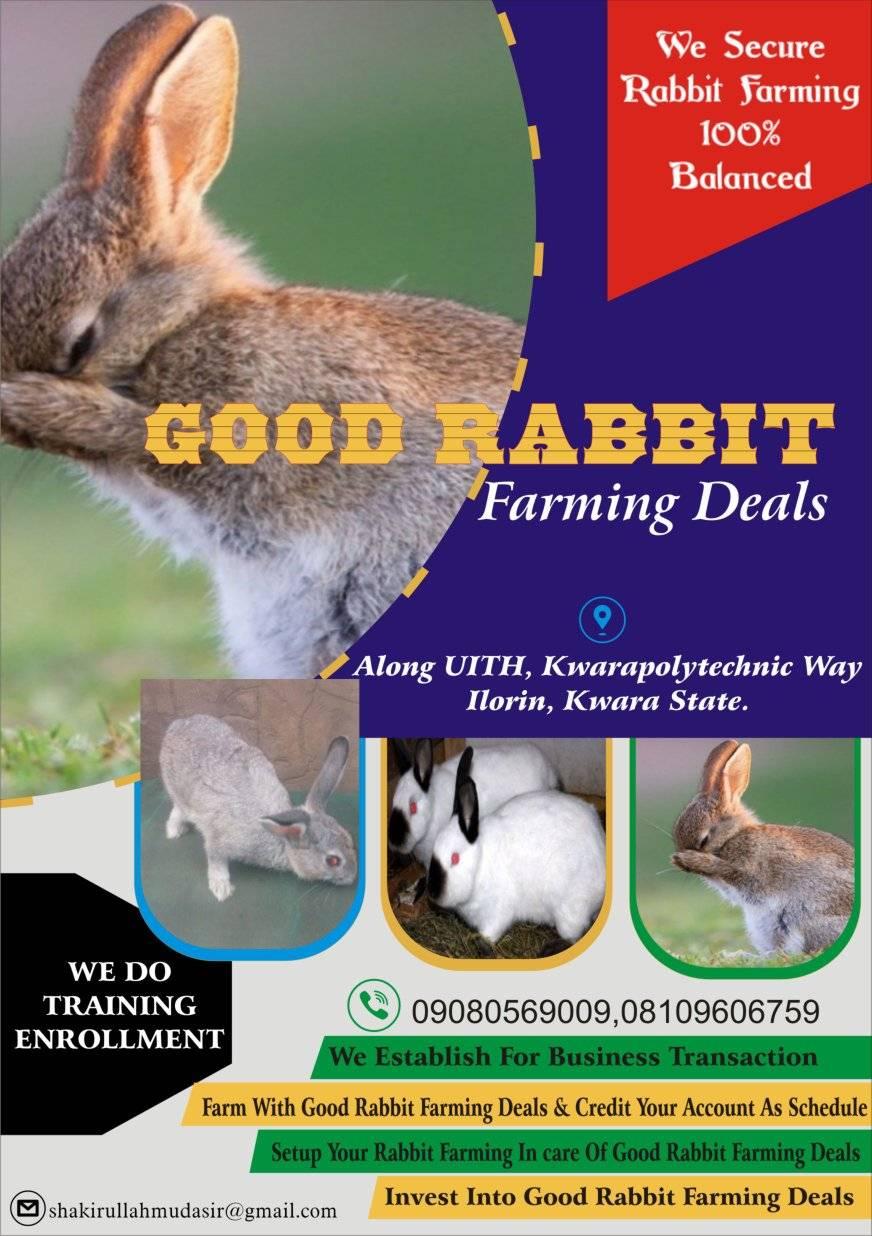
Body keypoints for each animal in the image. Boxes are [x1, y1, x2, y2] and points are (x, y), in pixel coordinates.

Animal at [159, 713, 356, 900]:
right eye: (333, 861)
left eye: (350, 840)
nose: (352, 878)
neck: (280, 838)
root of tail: (178, 724)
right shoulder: (219, 841)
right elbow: (215, 860)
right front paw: (221, 889)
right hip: (177, 791)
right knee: (178, 809)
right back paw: (173, 831)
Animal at [427, 752, 606, 945]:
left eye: (455, 858)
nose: (432, 892)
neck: (480, 861)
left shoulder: (497, 911)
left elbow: (491, 932)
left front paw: (481, 942)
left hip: (570, 909)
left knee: (572, 937)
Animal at [671, 740, 854, 956]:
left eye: (704, 840)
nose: (680, 860)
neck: (734, 835)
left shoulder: (751, 869)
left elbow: (731, 871)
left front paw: (691, 860)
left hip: (806, 921)